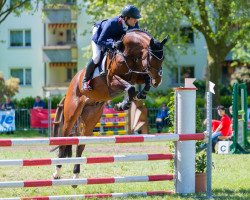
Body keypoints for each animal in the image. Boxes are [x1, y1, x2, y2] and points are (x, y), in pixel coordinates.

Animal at [50, 28, 168, 185]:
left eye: (162, 58)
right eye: (151, 58)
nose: (158, 81)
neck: (128, 53)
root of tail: (72, 84)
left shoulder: (136, 75)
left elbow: (141, 82)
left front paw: (137, 96)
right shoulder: (112, 80)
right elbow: (130, 88)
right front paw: (123, 104)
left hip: (91, 117)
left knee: (81, 144)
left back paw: (76, 176)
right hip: (71, 114)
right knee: (64, 140)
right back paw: (57, 173)